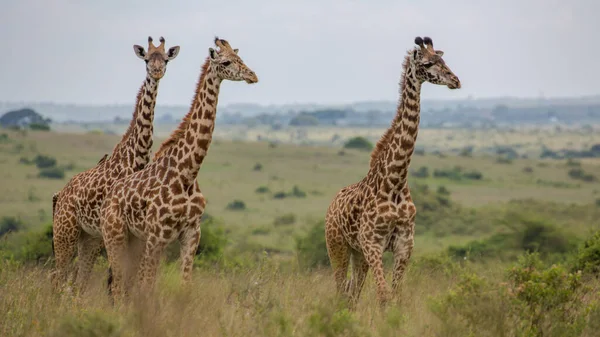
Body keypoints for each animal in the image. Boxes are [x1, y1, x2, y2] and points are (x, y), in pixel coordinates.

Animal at [51, 36, 179, 292]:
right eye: (147, 59)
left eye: (166, 59)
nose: (157, 72)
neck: (136, 157)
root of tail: (60, 195)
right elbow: (115, 279)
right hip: (65, 232)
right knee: (58, 277)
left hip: (88, 238)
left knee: (77, 280)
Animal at [101, 36, 255, 300]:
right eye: (226, 62)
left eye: (240, 58)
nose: (253, 76)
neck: (188, 173)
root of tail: (108, 198)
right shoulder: (156, 235)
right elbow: (147, 286)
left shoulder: (192, 233)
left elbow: (185, 285)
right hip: (115, 235)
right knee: (119, 286)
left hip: (134, 240)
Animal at [326, 36, 462, 308]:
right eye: (428, 63)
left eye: (444, 61)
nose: (456, 80)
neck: (396, 181)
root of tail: (331, 204)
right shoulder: (373, 244)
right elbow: (384, 295)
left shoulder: (404, 246)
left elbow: (396, 296)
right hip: (337, 246)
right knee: (341, 290)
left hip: (358, 253)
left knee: (352, 292)